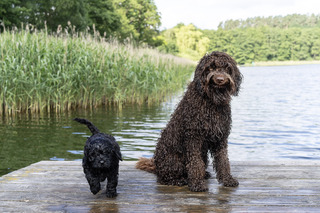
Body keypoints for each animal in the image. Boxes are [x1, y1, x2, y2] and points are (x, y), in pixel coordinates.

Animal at [136, 51, 242, 191]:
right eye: (210, 67)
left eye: (227, 68)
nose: (220, 79)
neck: (211, 101)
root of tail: (157, 166)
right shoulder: (193, 137)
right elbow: (195, 162)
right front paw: (197, 184)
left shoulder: (221, 138)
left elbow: (223, 160)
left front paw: (227, 179)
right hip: (173, 160)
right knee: (164, 178)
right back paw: (179, 180)